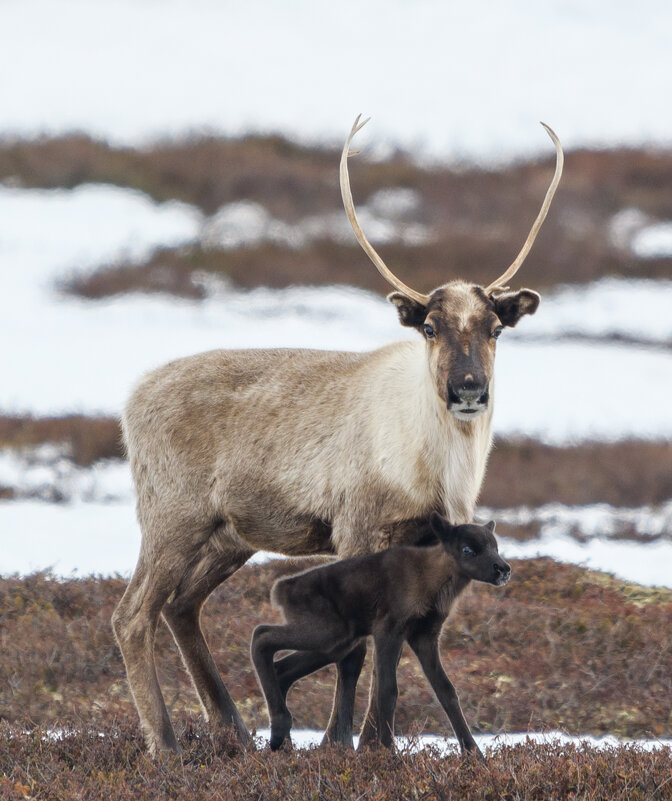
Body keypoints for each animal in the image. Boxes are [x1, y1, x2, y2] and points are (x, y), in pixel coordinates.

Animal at [251, 512, 510, 756]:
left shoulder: (425, 635)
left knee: (282, 669)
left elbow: (446, 691)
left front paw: (474, 755)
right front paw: (387, 752)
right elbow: (387, 690)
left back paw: (283, 742)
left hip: (337, 642)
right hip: (324, 632)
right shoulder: (388, 629)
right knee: (261, 636)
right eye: (467, 549)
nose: (504, 569)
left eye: (495, 547)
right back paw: (279, 732)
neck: (433, 582)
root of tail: (280, 590)